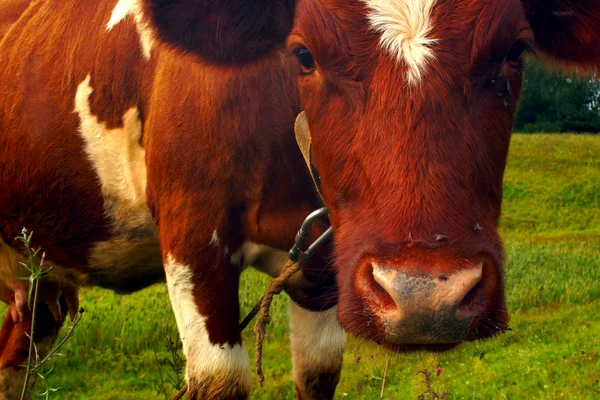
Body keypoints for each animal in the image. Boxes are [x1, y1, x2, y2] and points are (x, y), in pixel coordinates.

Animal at [0, 0, 596, 398]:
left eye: (515, 51)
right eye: (304, 54)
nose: (426, 298)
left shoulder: (324, 261)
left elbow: (317, 371)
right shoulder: (193, 241)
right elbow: (221, 380)